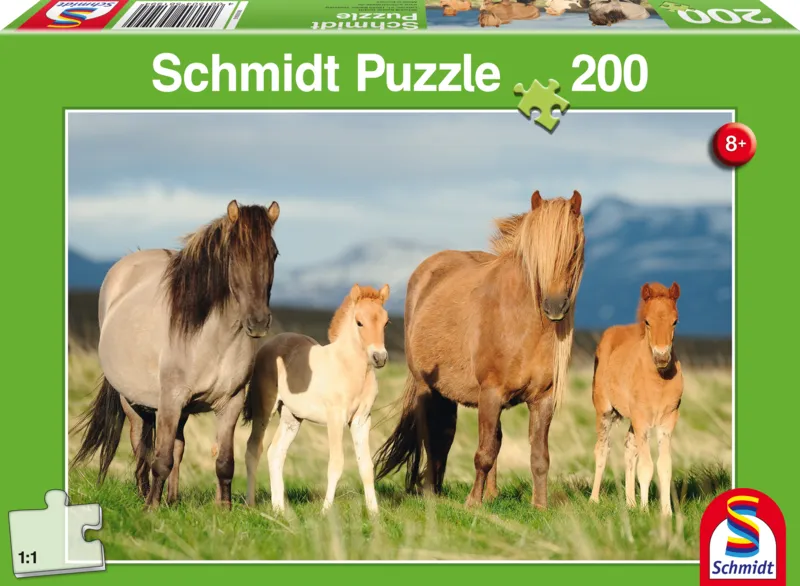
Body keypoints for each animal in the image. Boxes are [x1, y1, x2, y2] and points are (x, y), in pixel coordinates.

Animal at [70, 199, 280, 509]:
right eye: (233, 255)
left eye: (274, 254)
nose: (258, 322)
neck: (213, 338)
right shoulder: (170, 401)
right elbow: (160, 459)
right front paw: (151, 510)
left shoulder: (230, 402)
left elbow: (224, 462)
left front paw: (225, 510)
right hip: (132, 402)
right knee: (141, 446)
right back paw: (146, 495)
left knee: (178, 447)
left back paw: (172, 498)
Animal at [243, 284, 390, 515]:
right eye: (359, 322)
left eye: (386, 322)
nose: (380, 357)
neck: (349, 368)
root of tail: (270, 344)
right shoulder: (335, 418)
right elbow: (336, 464)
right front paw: (326, 511)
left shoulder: (361, 420)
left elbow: (366, 465)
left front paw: (374, 513)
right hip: (264, 409)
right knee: (253, 449)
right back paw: (251, 504)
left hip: (291, 417)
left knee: (275, 452)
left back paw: (279, 509)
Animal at [374, 191, 585, 509]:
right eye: (536, 254)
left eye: (573, 249)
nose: (555, 306)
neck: (523, 323)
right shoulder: (490, 394)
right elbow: (483, 453)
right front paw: (473, 503)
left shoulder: (543, 399)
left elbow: (538, 457)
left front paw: (539, 505)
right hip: (428, 388)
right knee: (434, 438)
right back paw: (431, 492)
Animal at [589, 282, 683, 516]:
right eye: (647, 321)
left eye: (675, 321)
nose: (661, 357)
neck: (658, 381)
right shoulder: (642, 419)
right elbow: (647, 466)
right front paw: (645, 510)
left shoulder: (668, 420)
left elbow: (664, 465)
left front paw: (666, 513)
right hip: (604, 411)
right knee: (602, 449)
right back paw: (593, 500)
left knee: (629, 448)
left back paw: (630, 502)